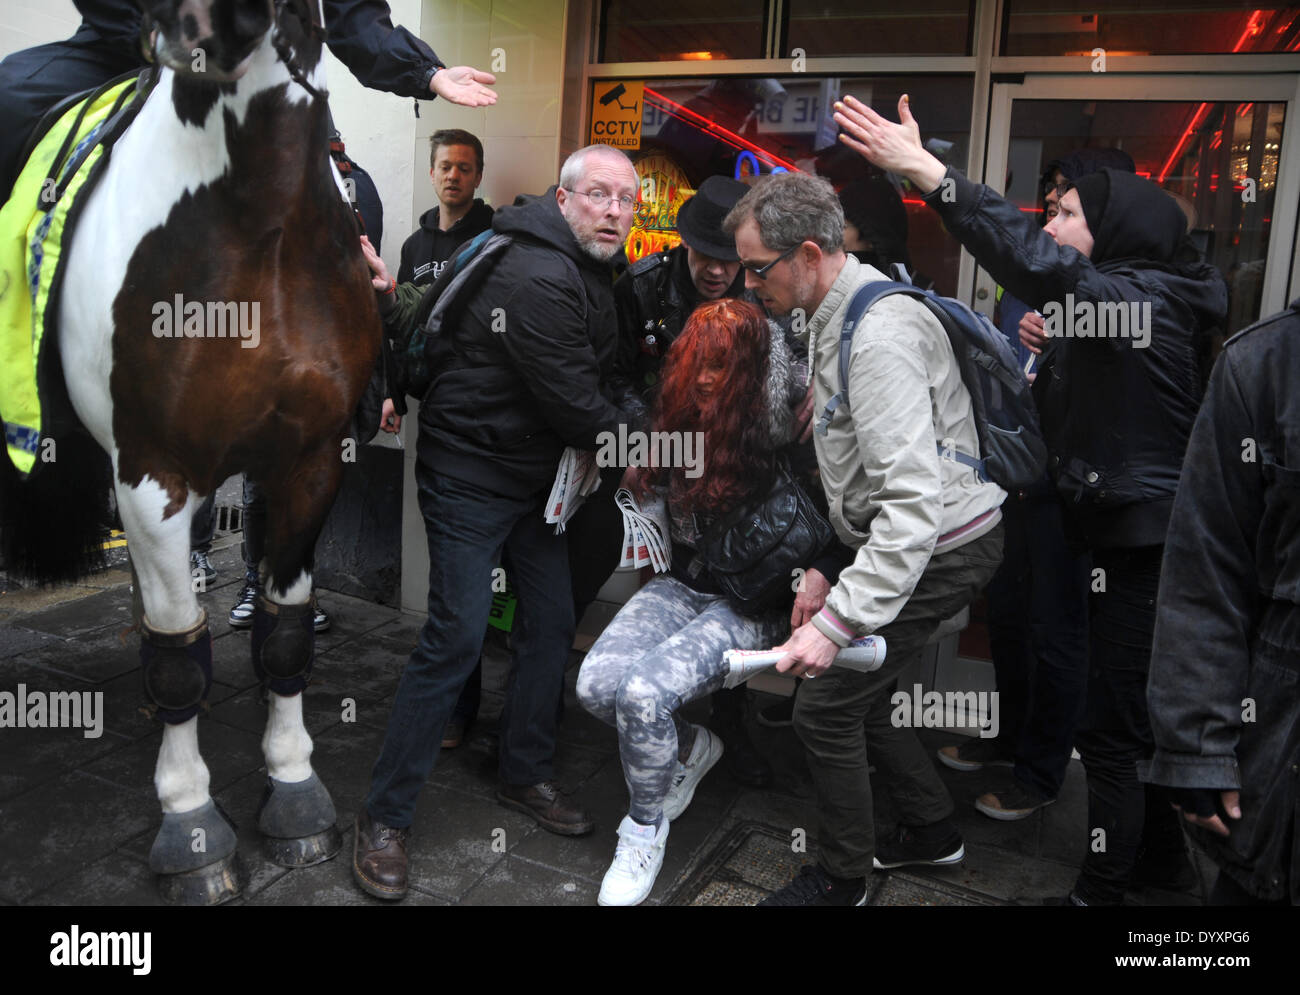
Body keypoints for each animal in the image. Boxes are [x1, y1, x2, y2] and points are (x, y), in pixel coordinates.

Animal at [39, 0, 377, 900]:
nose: (188, 27)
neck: (256, 217)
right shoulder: (153, 475)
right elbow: (180, 658)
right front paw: (191, 821)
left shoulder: (309, 462)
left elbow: (284, 635)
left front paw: (293, 788)